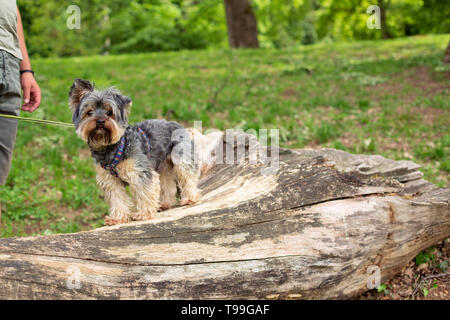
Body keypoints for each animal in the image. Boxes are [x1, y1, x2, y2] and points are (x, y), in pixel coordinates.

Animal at [69, 79, 200, 225]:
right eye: (89, 112)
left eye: (109, 112)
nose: (100, 121)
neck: (111, 147)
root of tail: (179, 125)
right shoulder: (110, 181)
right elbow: (117, 199)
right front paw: (117, 218)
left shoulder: (140, 172)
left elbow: (144, 192)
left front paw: (144, 214)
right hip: (163, 166)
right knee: (168, 183)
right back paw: (164, 204)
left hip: (181, 158)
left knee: (187, 175)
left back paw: (190, 198)